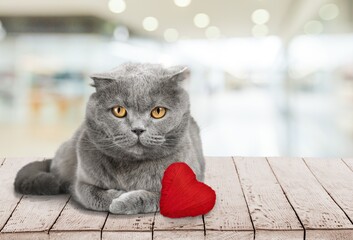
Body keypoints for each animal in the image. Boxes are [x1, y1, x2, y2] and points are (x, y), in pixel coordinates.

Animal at [14, 62, 204, 215]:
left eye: (158, 111)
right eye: (119, 110)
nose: (138, 129)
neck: (132, 168)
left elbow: (160, 197)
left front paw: (124, 201)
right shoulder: (81, 181)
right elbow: (91, 194)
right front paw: (117, 197)